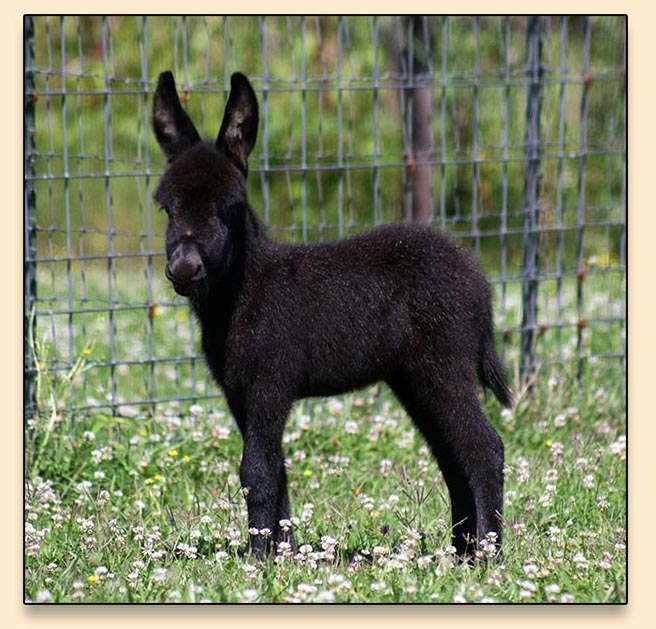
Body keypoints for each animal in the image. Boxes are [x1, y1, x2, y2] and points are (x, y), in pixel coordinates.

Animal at [154, 70, 512, 560]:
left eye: (229, 208)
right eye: (167, 209)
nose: (184, 269)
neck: (244, 291)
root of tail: (479, 282)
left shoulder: (269, 382)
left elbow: (256, 471)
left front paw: (259, 557)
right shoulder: (239, 392)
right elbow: (276, 469)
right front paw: (282, 551)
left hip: (443, 366)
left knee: (484, 449)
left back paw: (489, 556)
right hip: (414, 378)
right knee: (452, 457)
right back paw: (460, 552)